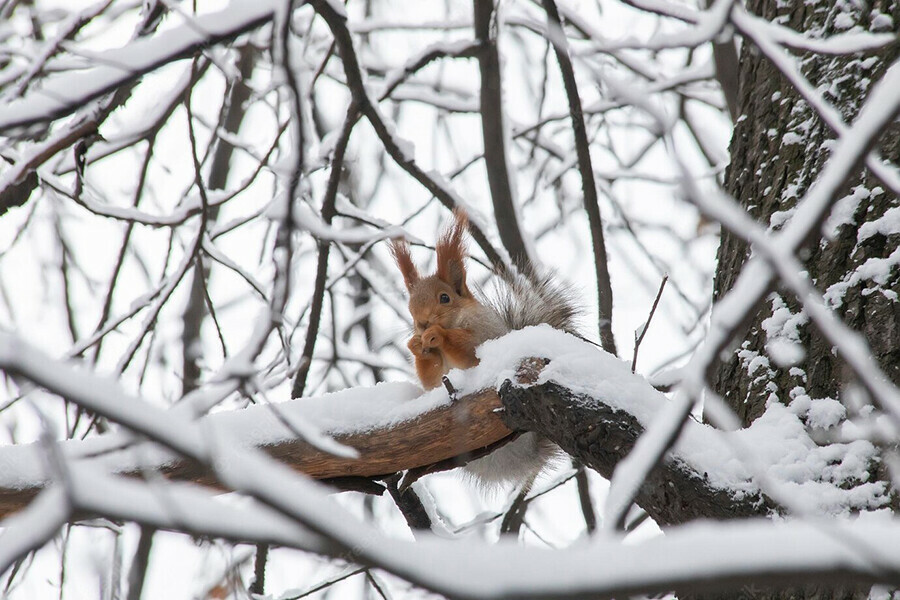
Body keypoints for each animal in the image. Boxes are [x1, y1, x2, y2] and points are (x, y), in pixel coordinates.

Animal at [390, 209, 580, 486]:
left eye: (445, 298)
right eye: (410, 306)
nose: (422, 323)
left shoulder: (484, 334)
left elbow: (467, 351)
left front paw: (438, 335)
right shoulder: (434, 374)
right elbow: (431, 377)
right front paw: (416, 345)